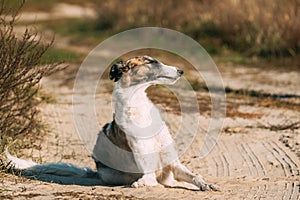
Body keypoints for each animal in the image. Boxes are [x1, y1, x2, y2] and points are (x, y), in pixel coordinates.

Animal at [4, 55, 216, 191]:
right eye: (151, 61)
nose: (181, 70)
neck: (138, 105)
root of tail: (95, 171)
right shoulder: (147, 165)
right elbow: (147, 179)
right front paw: (140, 184)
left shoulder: (171, 161)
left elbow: (194, 176)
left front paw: (205, 184)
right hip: (114, 175)